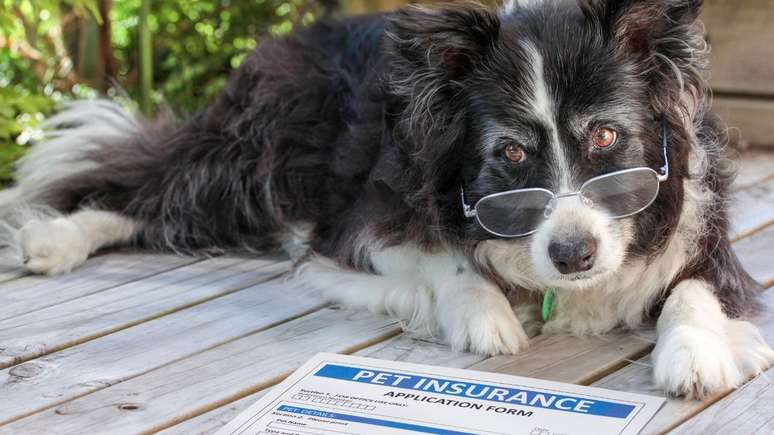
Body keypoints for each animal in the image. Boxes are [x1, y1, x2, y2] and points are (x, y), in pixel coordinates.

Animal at [3, 0, 772, 400]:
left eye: (607, 135)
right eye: (511, 154)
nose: (573, 255)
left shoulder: (704, 232)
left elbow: (697, 288)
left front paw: (694, 352)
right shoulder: (363, 217)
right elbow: (442, 258)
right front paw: (484, 314)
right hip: (257, 154)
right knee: (155, 185)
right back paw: (56, 240)